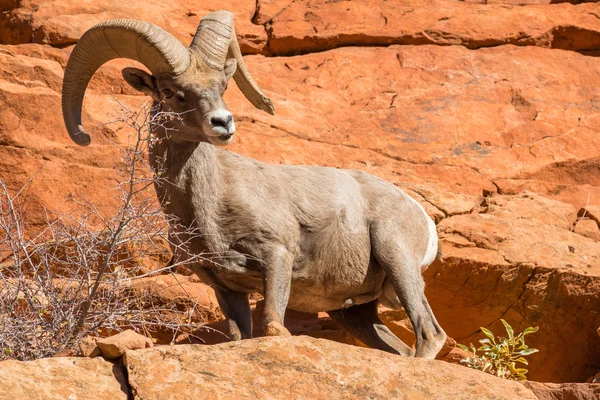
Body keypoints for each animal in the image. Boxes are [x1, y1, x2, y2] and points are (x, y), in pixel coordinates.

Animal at [62, 10, 446, 358]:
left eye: (222, 86)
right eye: (171, 92)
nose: (223, 123)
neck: (207, 206)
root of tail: (422, 216)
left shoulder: (276, 256)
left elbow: (273, 326)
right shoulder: (226, 288)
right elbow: (239, 338)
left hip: (396, 256)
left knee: (429, 334)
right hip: (354, 311)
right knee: (399, 348)